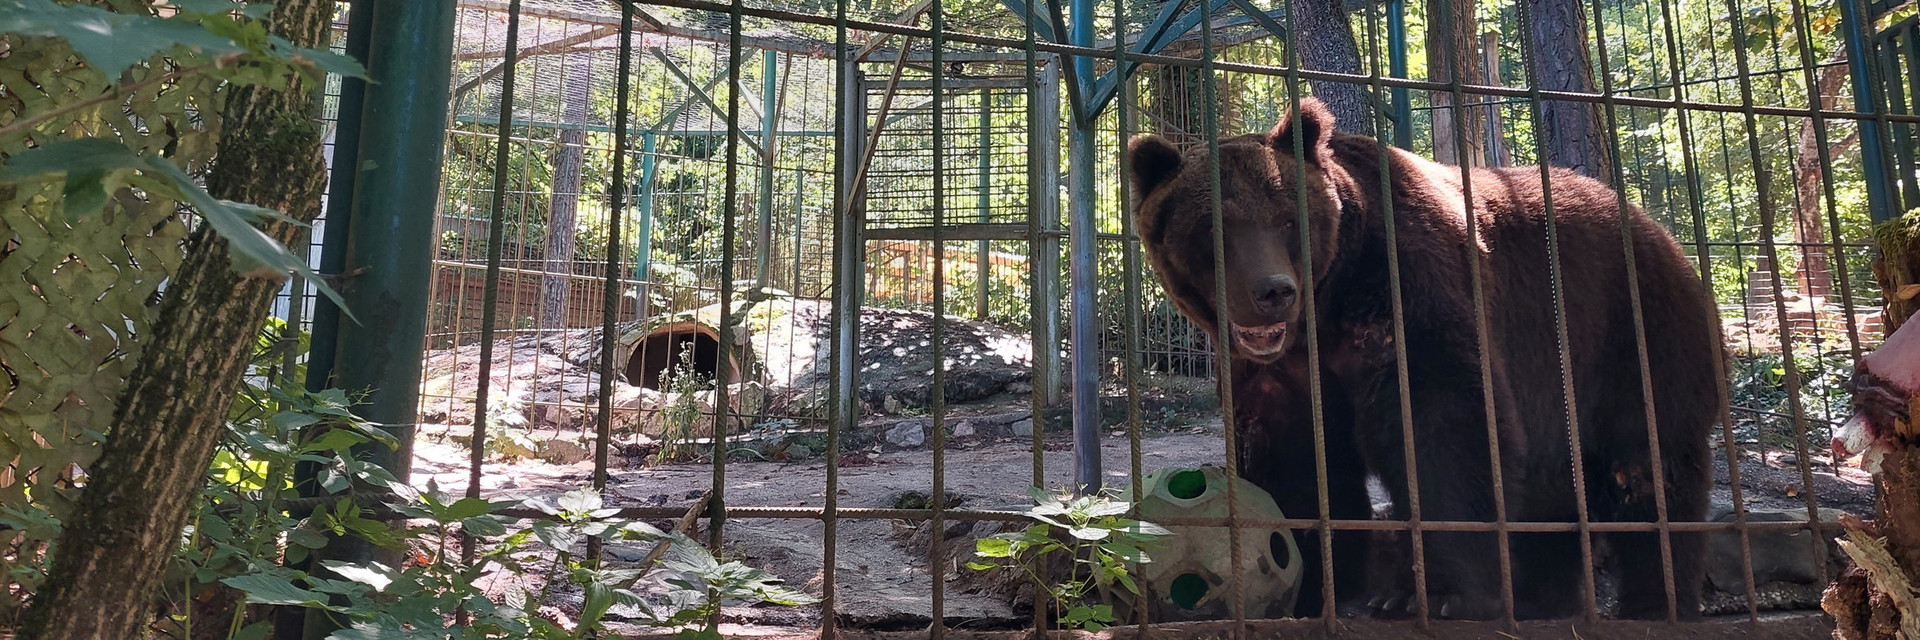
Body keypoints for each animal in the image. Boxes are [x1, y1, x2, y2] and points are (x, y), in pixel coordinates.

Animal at [1126, 96, 1724, 621]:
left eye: (1288, 220)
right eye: (1214, 228)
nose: (1273, 291)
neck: (1325, 310)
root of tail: (1659, 229)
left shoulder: (1405, 286)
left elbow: (1441, 423)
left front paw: (1434, 594)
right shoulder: (1277, 374)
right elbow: (1292, 461)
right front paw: (1309, 582)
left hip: (1628, 333)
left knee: (1648, 465)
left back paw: (1656, 598)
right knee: (1553, 480)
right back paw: (1541, 597)